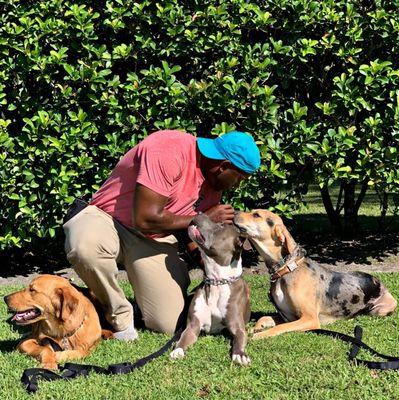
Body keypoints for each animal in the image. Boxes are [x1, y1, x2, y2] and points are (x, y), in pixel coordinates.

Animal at [233, 211, 398, 340]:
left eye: (256, 215)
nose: (233, 212)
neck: (286, 269)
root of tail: (380, 282)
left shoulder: (309, 319)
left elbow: (280, 328)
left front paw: (260, 334)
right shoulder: (286, 316)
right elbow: (264, 317)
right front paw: (254, 328)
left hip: (381, 309)